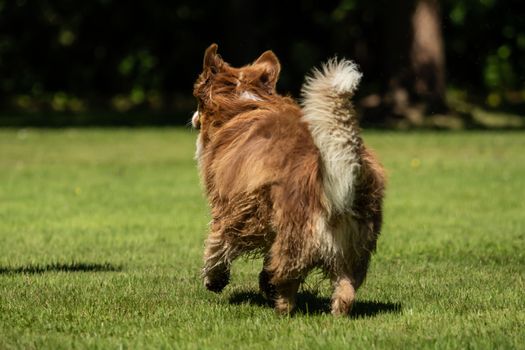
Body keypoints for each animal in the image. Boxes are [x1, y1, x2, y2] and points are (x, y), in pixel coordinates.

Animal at [190, 43, 382, 314]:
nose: (193, 118)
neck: (246, 104)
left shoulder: (234, 209)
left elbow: (218, 243)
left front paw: (214, 279)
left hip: (296, 238)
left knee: (287, 282)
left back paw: (280, 304)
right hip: (352, 250)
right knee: (345, 291)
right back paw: (334, 311)